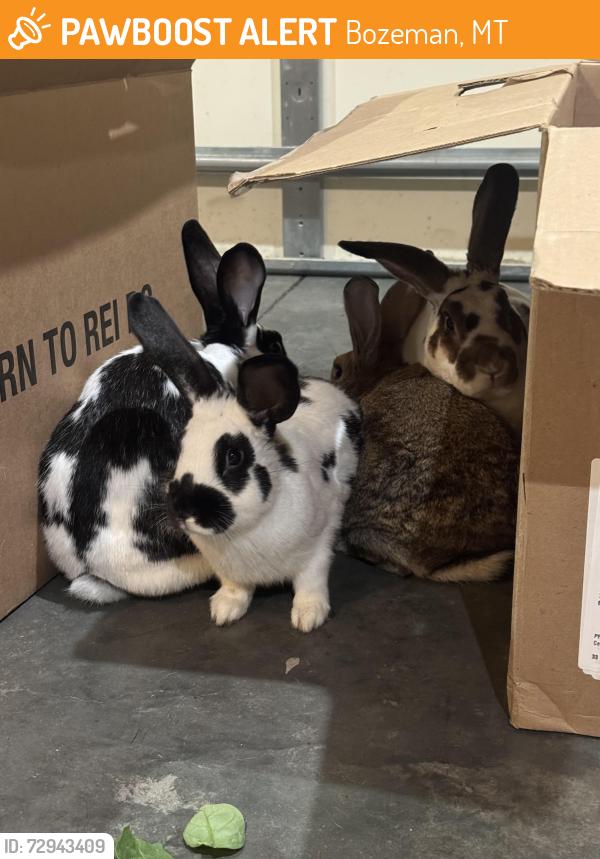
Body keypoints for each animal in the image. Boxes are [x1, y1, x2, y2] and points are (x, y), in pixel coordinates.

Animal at [127, 291, 362, 632]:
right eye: (181, 447)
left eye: (233, 457)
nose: (184, 510)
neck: (244, 531)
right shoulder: (228, 571)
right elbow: (236, 588)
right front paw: (224, 610)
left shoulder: (317, 549)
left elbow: (311, 582)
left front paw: (308, 616)